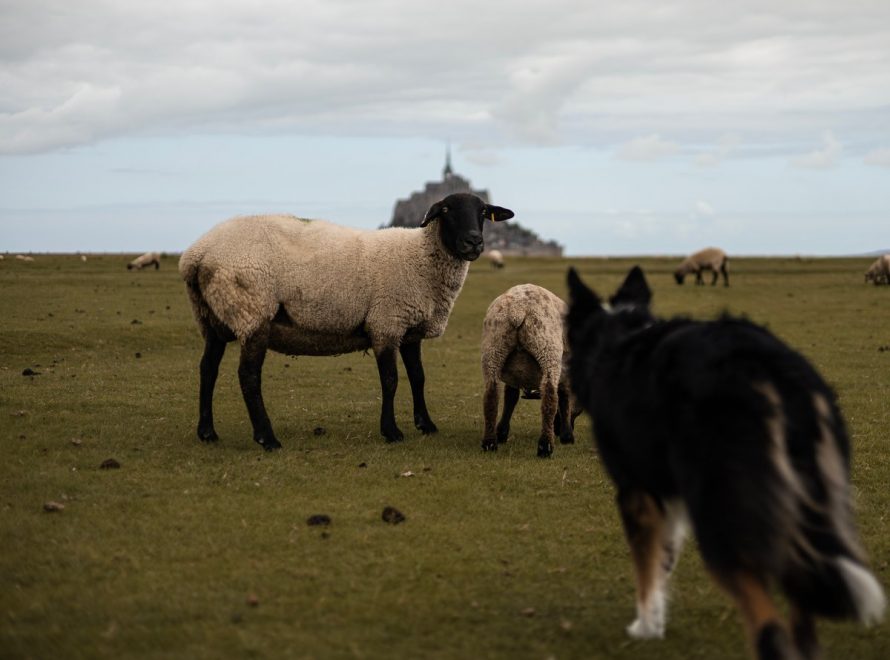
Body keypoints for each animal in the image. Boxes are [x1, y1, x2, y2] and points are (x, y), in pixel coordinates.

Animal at [179, 192, 514, 450]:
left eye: (482, 212)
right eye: (445, 210)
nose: (474, 241)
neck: (421, 258)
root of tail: (196, 254)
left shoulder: (409, 330)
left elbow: (418, 377)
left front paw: (426, 424)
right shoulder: (386, 323)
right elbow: (390, 380)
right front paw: (391, 431)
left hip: (213, 318)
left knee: (207, 370)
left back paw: (207, 432)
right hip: (252, 311)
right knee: (248, 376)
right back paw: (266, 438)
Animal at [481, 283, 577, 457]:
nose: (557, 429)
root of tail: (518, 310)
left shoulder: (513, 377)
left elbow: (510, 398)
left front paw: (502, 432)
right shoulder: (565, 373)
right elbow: (564, 399)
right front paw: (567, 436)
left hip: (493, 349)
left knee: (491, 396)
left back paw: (490, 443)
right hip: (547, 350)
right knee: (550, 397)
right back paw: (545, 446)